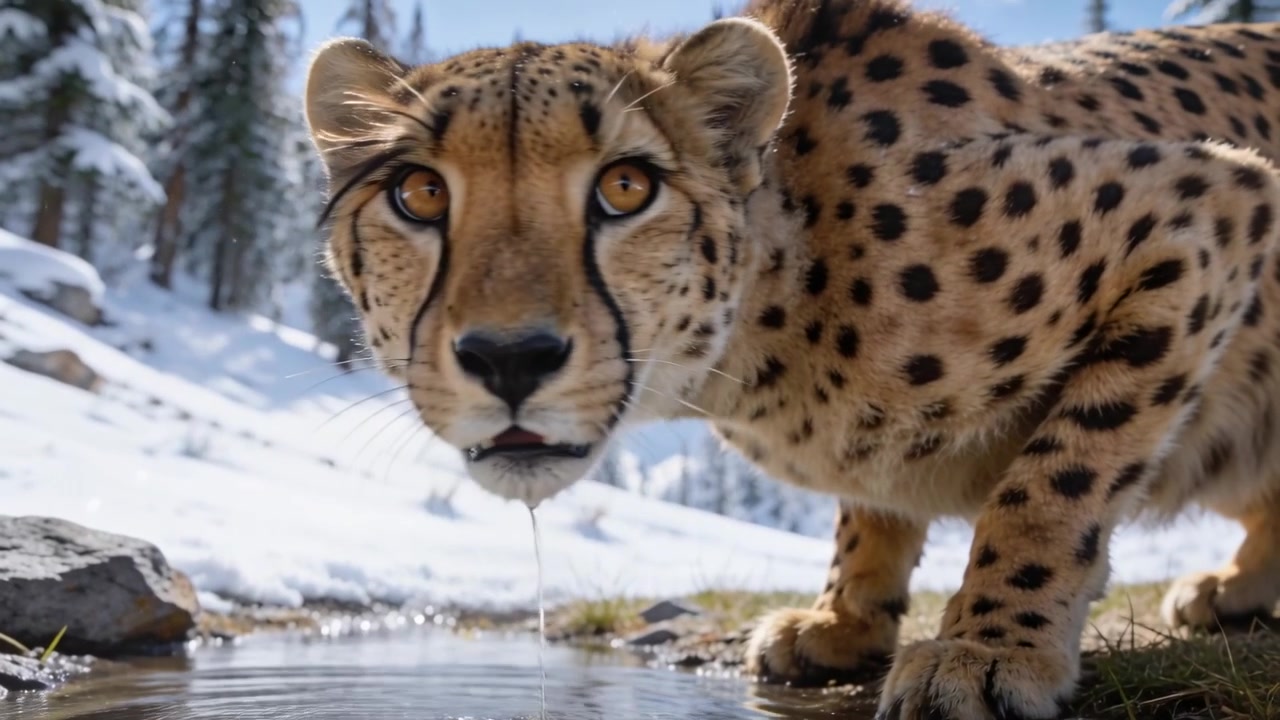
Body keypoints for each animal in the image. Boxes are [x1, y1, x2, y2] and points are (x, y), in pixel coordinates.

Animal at [302, 1, 1280, 717]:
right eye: (418, 194)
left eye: (626, 187)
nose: (511, 358)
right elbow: (873, 504)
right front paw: (844, 619)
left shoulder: (1212, 206)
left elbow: (1052, 482)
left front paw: (990, 646)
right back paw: (1236, 585)